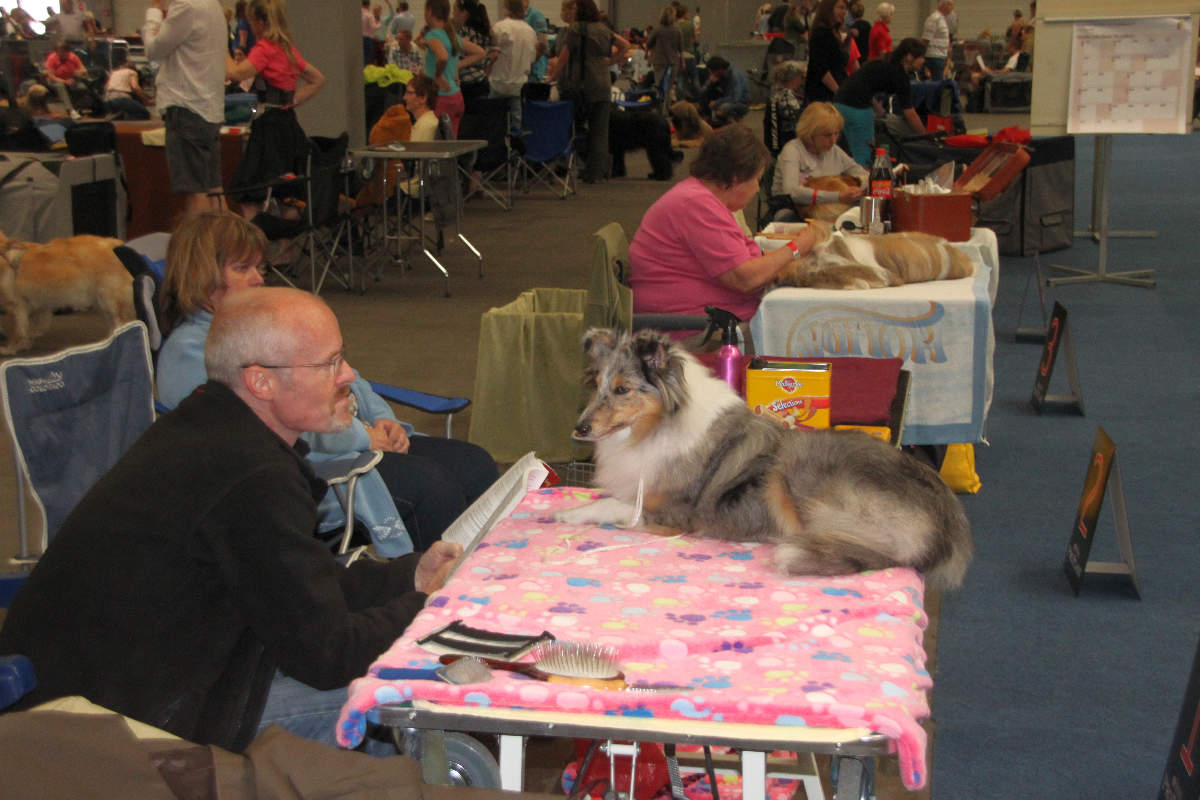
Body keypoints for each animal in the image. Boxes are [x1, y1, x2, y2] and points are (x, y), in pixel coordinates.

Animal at [0, 232, 133, 355]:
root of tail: (117, 244)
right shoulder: (36, 306)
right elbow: (33, 326)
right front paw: (28, 341)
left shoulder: (16, 305)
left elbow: (18, 332)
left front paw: (10, 349)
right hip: (103, 303)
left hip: (110, 301)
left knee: (122, 324)